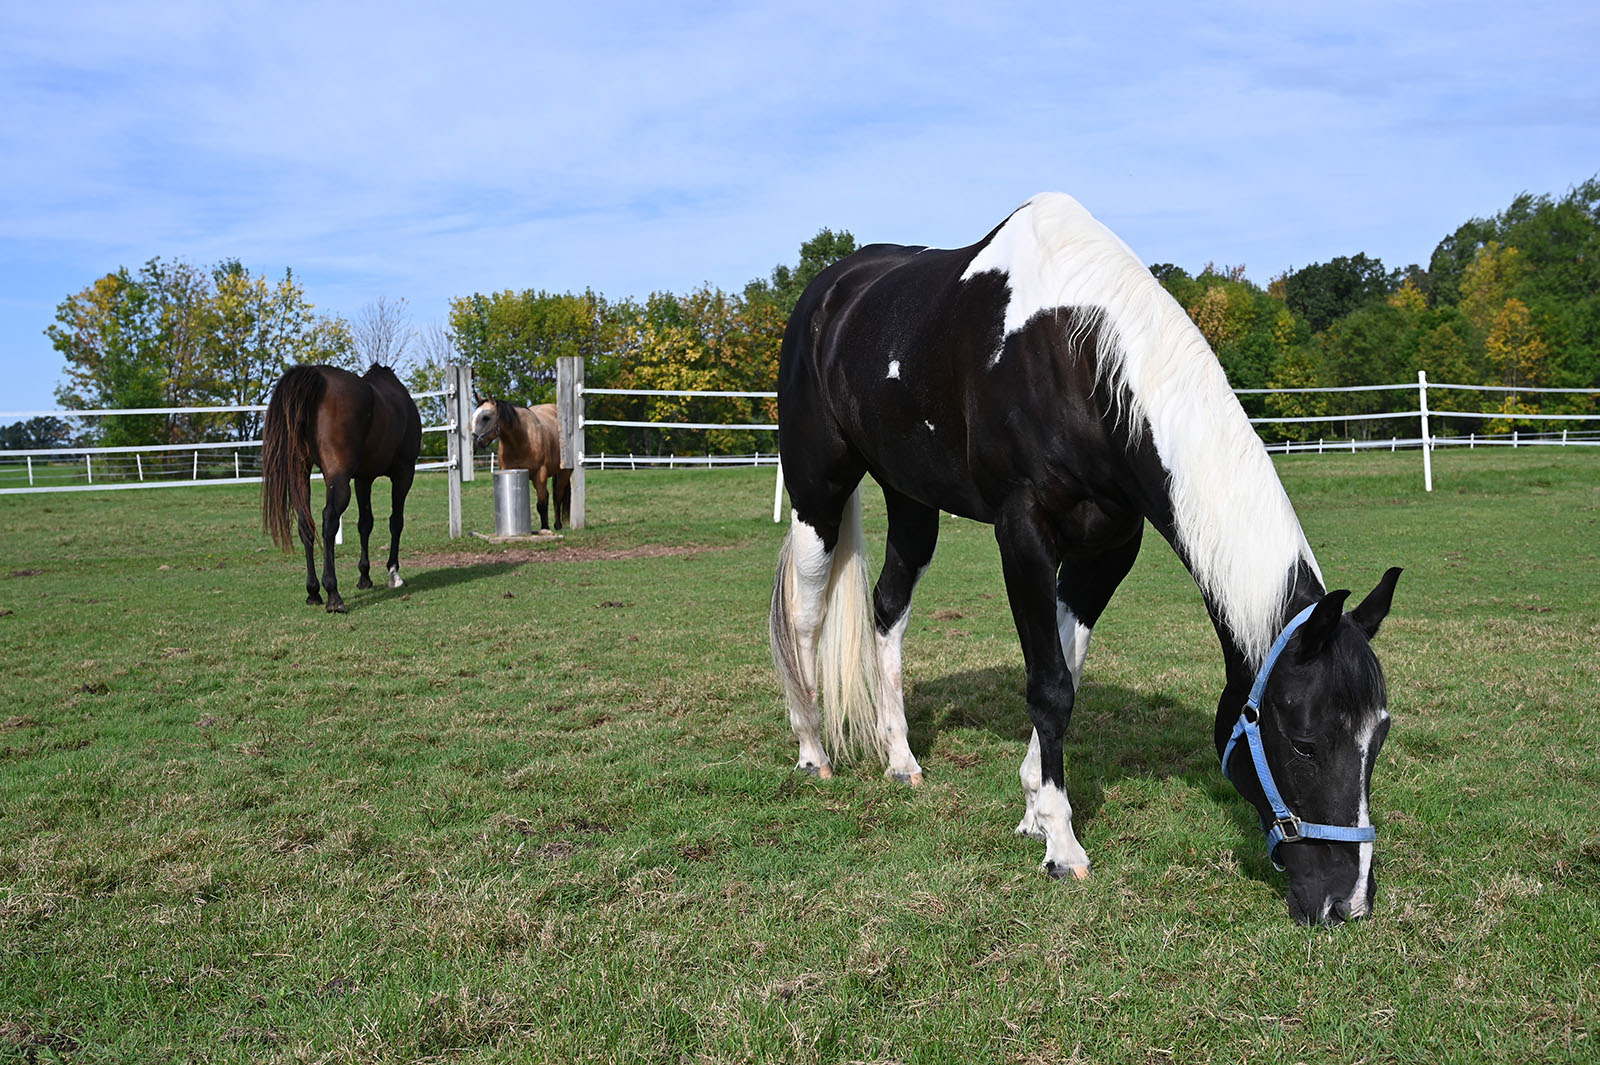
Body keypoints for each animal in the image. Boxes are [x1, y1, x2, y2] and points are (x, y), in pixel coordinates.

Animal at [257, 364, 419, 614]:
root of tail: (315, 376)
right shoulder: (404, 473)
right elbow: (396, 522)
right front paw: (394, 573)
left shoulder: (363, 478)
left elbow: (365, 524)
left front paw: (364, 577)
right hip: (339, 477)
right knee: (329, 520)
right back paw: (333, 594)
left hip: (300, 473)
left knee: (306, 524)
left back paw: (313, 591)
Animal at [771, 192, 1401, 921]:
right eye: (1304, 741)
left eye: (1379, 736)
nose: (1348, 902)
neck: (1076, 357)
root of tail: (829, 291)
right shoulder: (1023, 534)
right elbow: (1048, 684)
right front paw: (1061, 844)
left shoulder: (1108, 549)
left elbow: (1066, 670)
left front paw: (1034, 809)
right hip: (818, 491)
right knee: (806, 617)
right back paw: (813, 749)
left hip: (911, 501)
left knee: (887, 609)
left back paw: (901, 759)